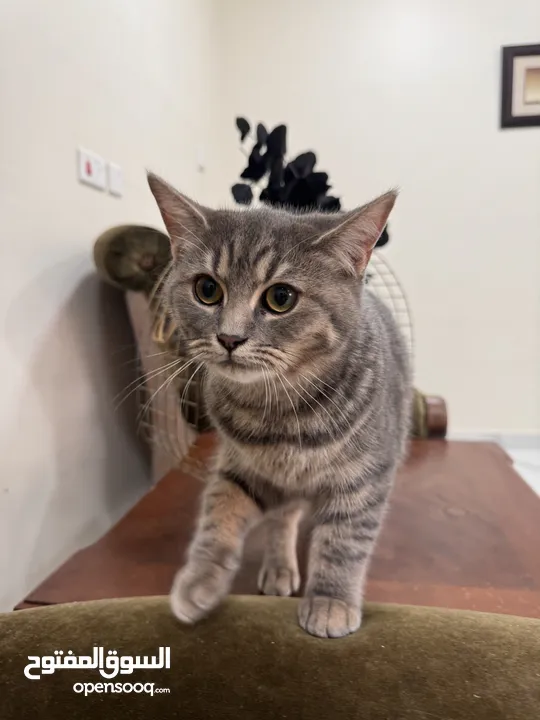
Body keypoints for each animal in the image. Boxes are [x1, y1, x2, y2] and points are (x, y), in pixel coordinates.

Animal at [148, 173, 410, 636]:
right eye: (207, 289)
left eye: (281, 298)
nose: (229, 337)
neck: (282, 410)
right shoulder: (243, 467)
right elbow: (218, 515)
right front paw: (199, 579)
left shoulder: (365, 479)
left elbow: (344, 543)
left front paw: (330, 601)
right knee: (283, 518)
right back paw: (279, 566)